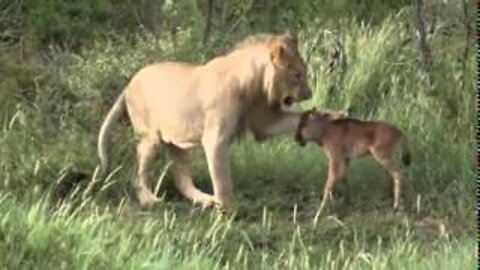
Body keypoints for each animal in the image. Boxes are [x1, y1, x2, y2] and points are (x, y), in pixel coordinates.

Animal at [97, 33, 314, 211]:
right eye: (297, 75)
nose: (309, 94)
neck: (254, 84)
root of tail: (128, 84)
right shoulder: (215, 139)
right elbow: (222, 177)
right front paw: (228, 209)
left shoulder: (263, 120)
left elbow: (292, 119)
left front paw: (318, 118)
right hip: (150, 137)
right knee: (139, 173)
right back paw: (149, 200)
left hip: (176, 144)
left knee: (181, 179)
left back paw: (205, 200)